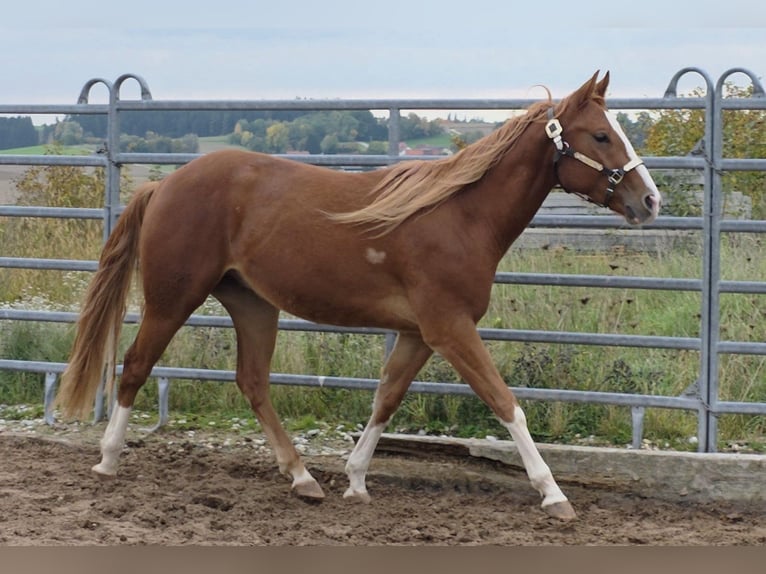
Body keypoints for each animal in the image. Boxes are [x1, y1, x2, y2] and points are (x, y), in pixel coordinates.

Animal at [55, 71, 660, 521]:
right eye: (601, 136)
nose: (650, 201)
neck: (461, 216)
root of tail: (163, 184)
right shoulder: (450, 328)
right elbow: (506, 402)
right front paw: (554, 494)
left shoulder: (419, 334)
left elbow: (385, 400)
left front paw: (355, 481)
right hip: (173, 297)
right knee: (135, 366)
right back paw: (108, 461)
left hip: (253, 303)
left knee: (252, 382)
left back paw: (303, 478)